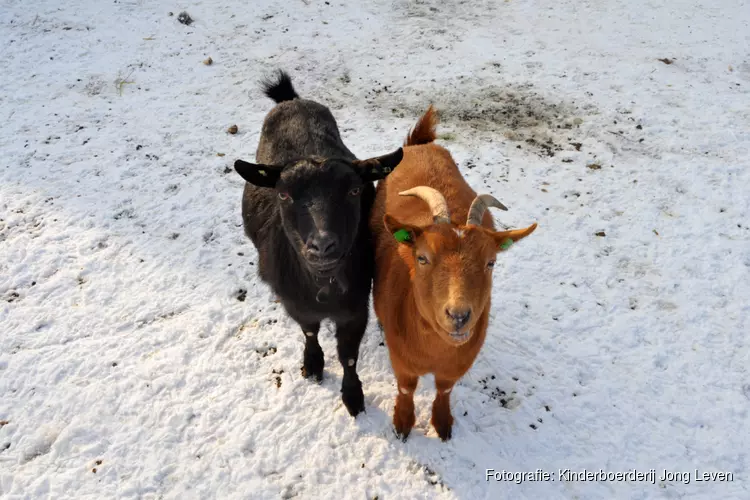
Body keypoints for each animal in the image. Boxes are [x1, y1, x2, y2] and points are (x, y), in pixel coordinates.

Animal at [235, 68, 406, 416]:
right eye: (284, 195)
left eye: (354, 191)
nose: (322, 245)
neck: (324, 287)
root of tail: (291, 100)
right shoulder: (295, 303)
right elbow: (310, 331)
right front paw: (313, 364)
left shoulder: (356, 307)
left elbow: (349, 356)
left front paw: (353, 396)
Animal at [372, 106, 536, 442]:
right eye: (422, 257)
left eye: (491, 262)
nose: (459, 316)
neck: (434, 351)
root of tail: (420, 144)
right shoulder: (401, 358)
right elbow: (406, 388)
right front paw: (402, 423)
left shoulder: (457, 363)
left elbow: (444, 389)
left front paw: (443, 423)